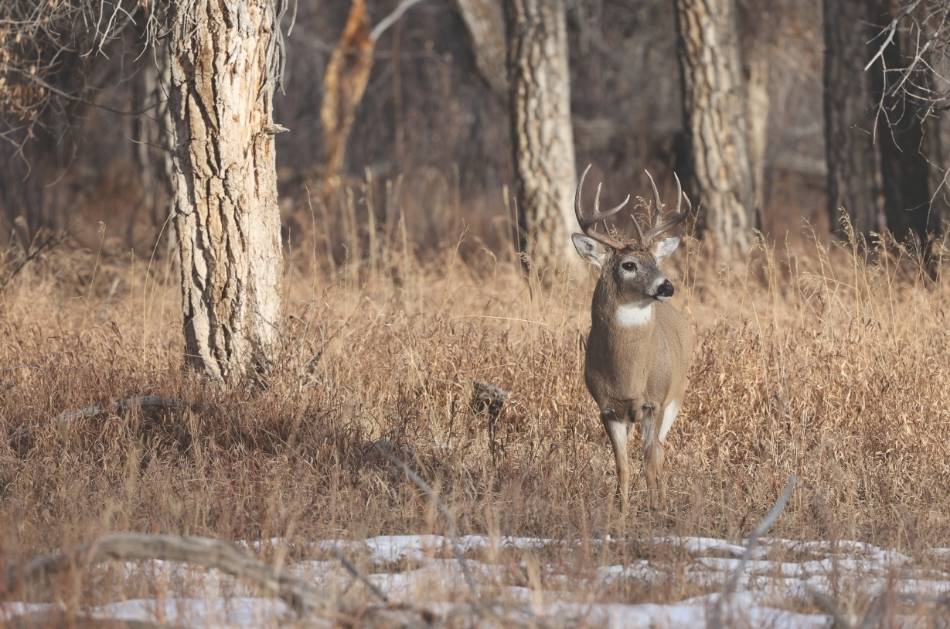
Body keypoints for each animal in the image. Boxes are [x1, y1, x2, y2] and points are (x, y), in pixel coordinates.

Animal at [571, 164, 694, 514]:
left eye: (657, 261)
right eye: (629, 265)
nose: (667, 286)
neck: (628, 377)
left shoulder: (656, 401)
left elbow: (649, 462)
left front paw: (655, 510)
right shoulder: (608, 408)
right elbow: (622, 466)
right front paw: (622, 512)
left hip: (676, 397)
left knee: (661, 451)